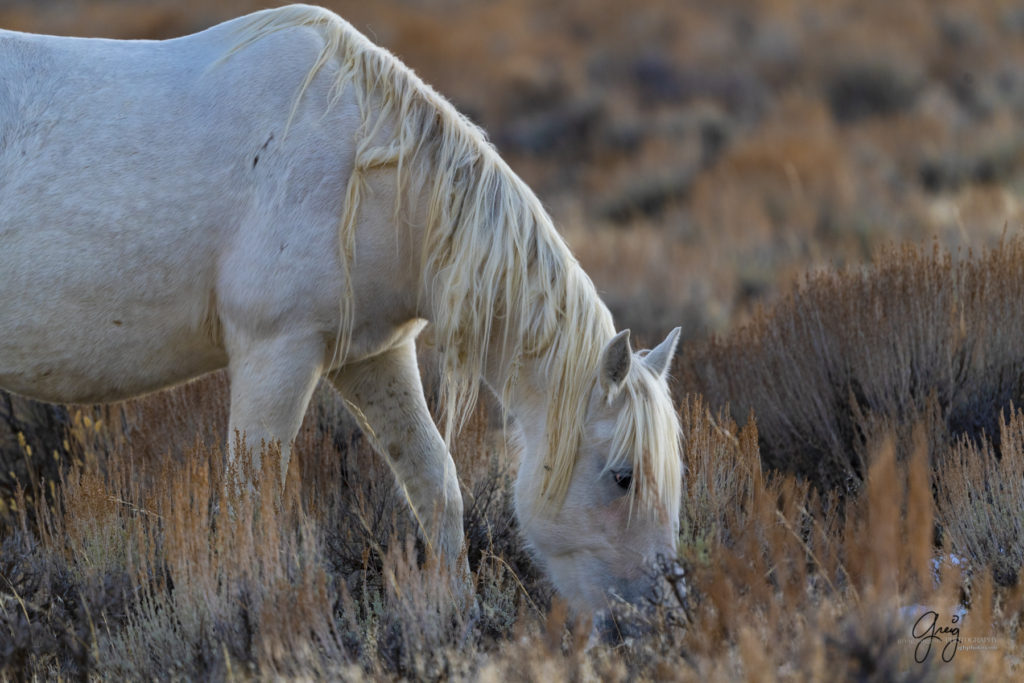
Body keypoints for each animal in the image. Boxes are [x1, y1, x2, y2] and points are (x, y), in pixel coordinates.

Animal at [2, 3, 688, 614]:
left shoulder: (373, 357)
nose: (655, 616)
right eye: (623, 476)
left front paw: (458, 613)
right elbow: (251, 506)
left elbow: (436, 485)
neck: (371, 165)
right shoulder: (276, 354)